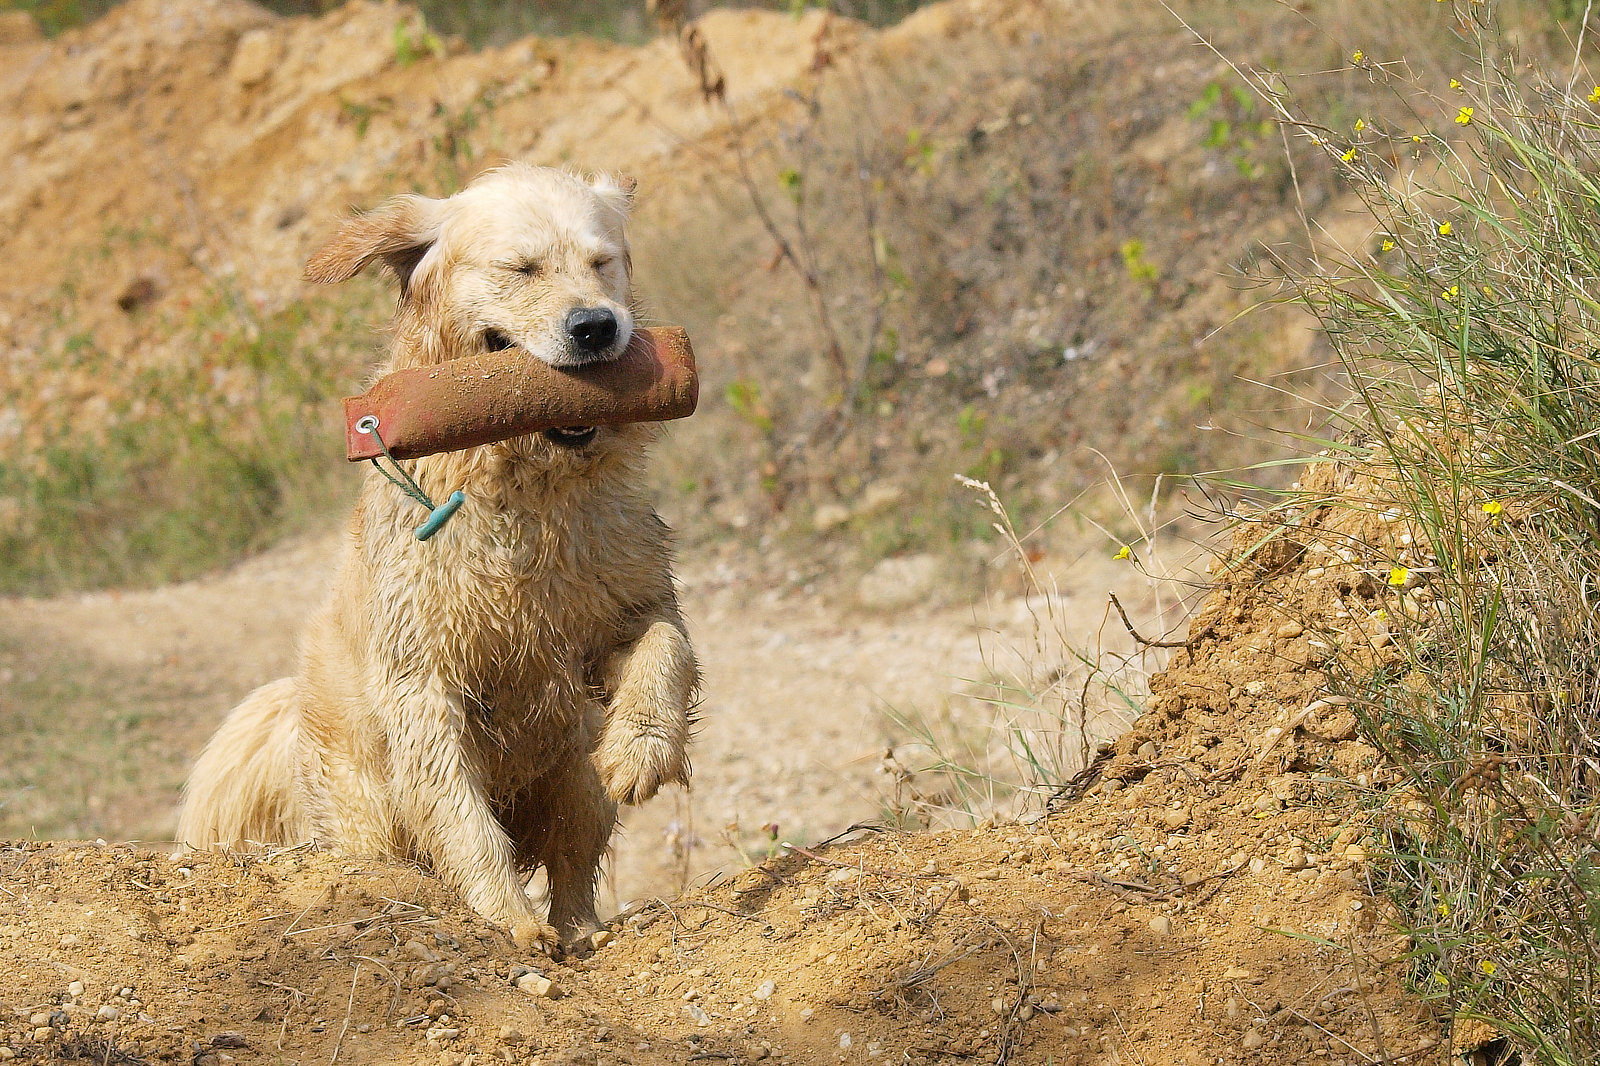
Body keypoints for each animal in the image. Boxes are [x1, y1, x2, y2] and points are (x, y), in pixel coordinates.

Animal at [176, 164, 700, 947]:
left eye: (602, 262)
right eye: (521, 268)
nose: (597, 326)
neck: (520, 485)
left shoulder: (629, 592)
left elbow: (666, 647)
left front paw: (640, 750)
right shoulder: (422, 677)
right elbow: (460, 814)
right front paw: (507, 917)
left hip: (570, 765)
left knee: (575, 854)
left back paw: (582, 928)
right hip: (364, 809)